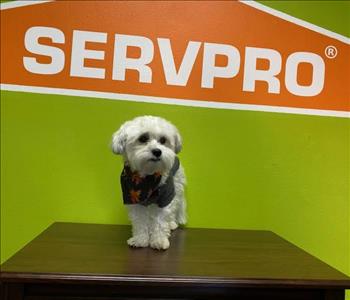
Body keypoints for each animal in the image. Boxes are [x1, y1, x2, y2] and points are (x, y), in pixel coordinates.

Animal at [112, 116, 186, 250]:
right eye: (143, 138)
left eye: (163, 140)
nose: (157, 151)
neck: (146, 179)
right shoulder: (132, 199)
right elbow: (140, 221)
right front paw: (140, 240)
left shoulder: (165, 198)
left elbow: (161, 221)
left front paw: (159, 240)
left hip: (176, 188)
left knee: (173, 207)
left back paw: (171, 224)